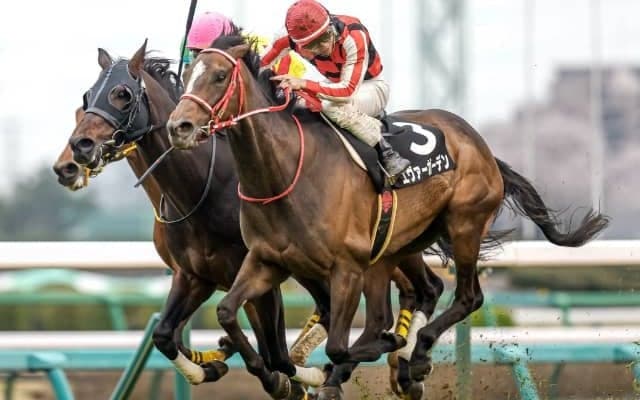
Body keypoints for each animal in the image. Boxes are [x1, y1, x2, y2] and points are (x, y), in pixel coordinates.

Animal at [166, 35, 609, 399]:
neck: (286, 170)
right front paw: (262, 368)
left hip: (463, 225)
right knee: (402, 303)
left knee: (467, 296)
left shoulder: (345, 267)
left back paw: (415, 354)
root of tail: (478, 143)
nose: (179, 126)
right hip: (393, 248)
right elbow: (228, 313)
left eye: (220, 75)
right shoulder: (267, 261)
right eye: (186, 74)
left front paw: (366, 357)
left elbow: (338, 345)